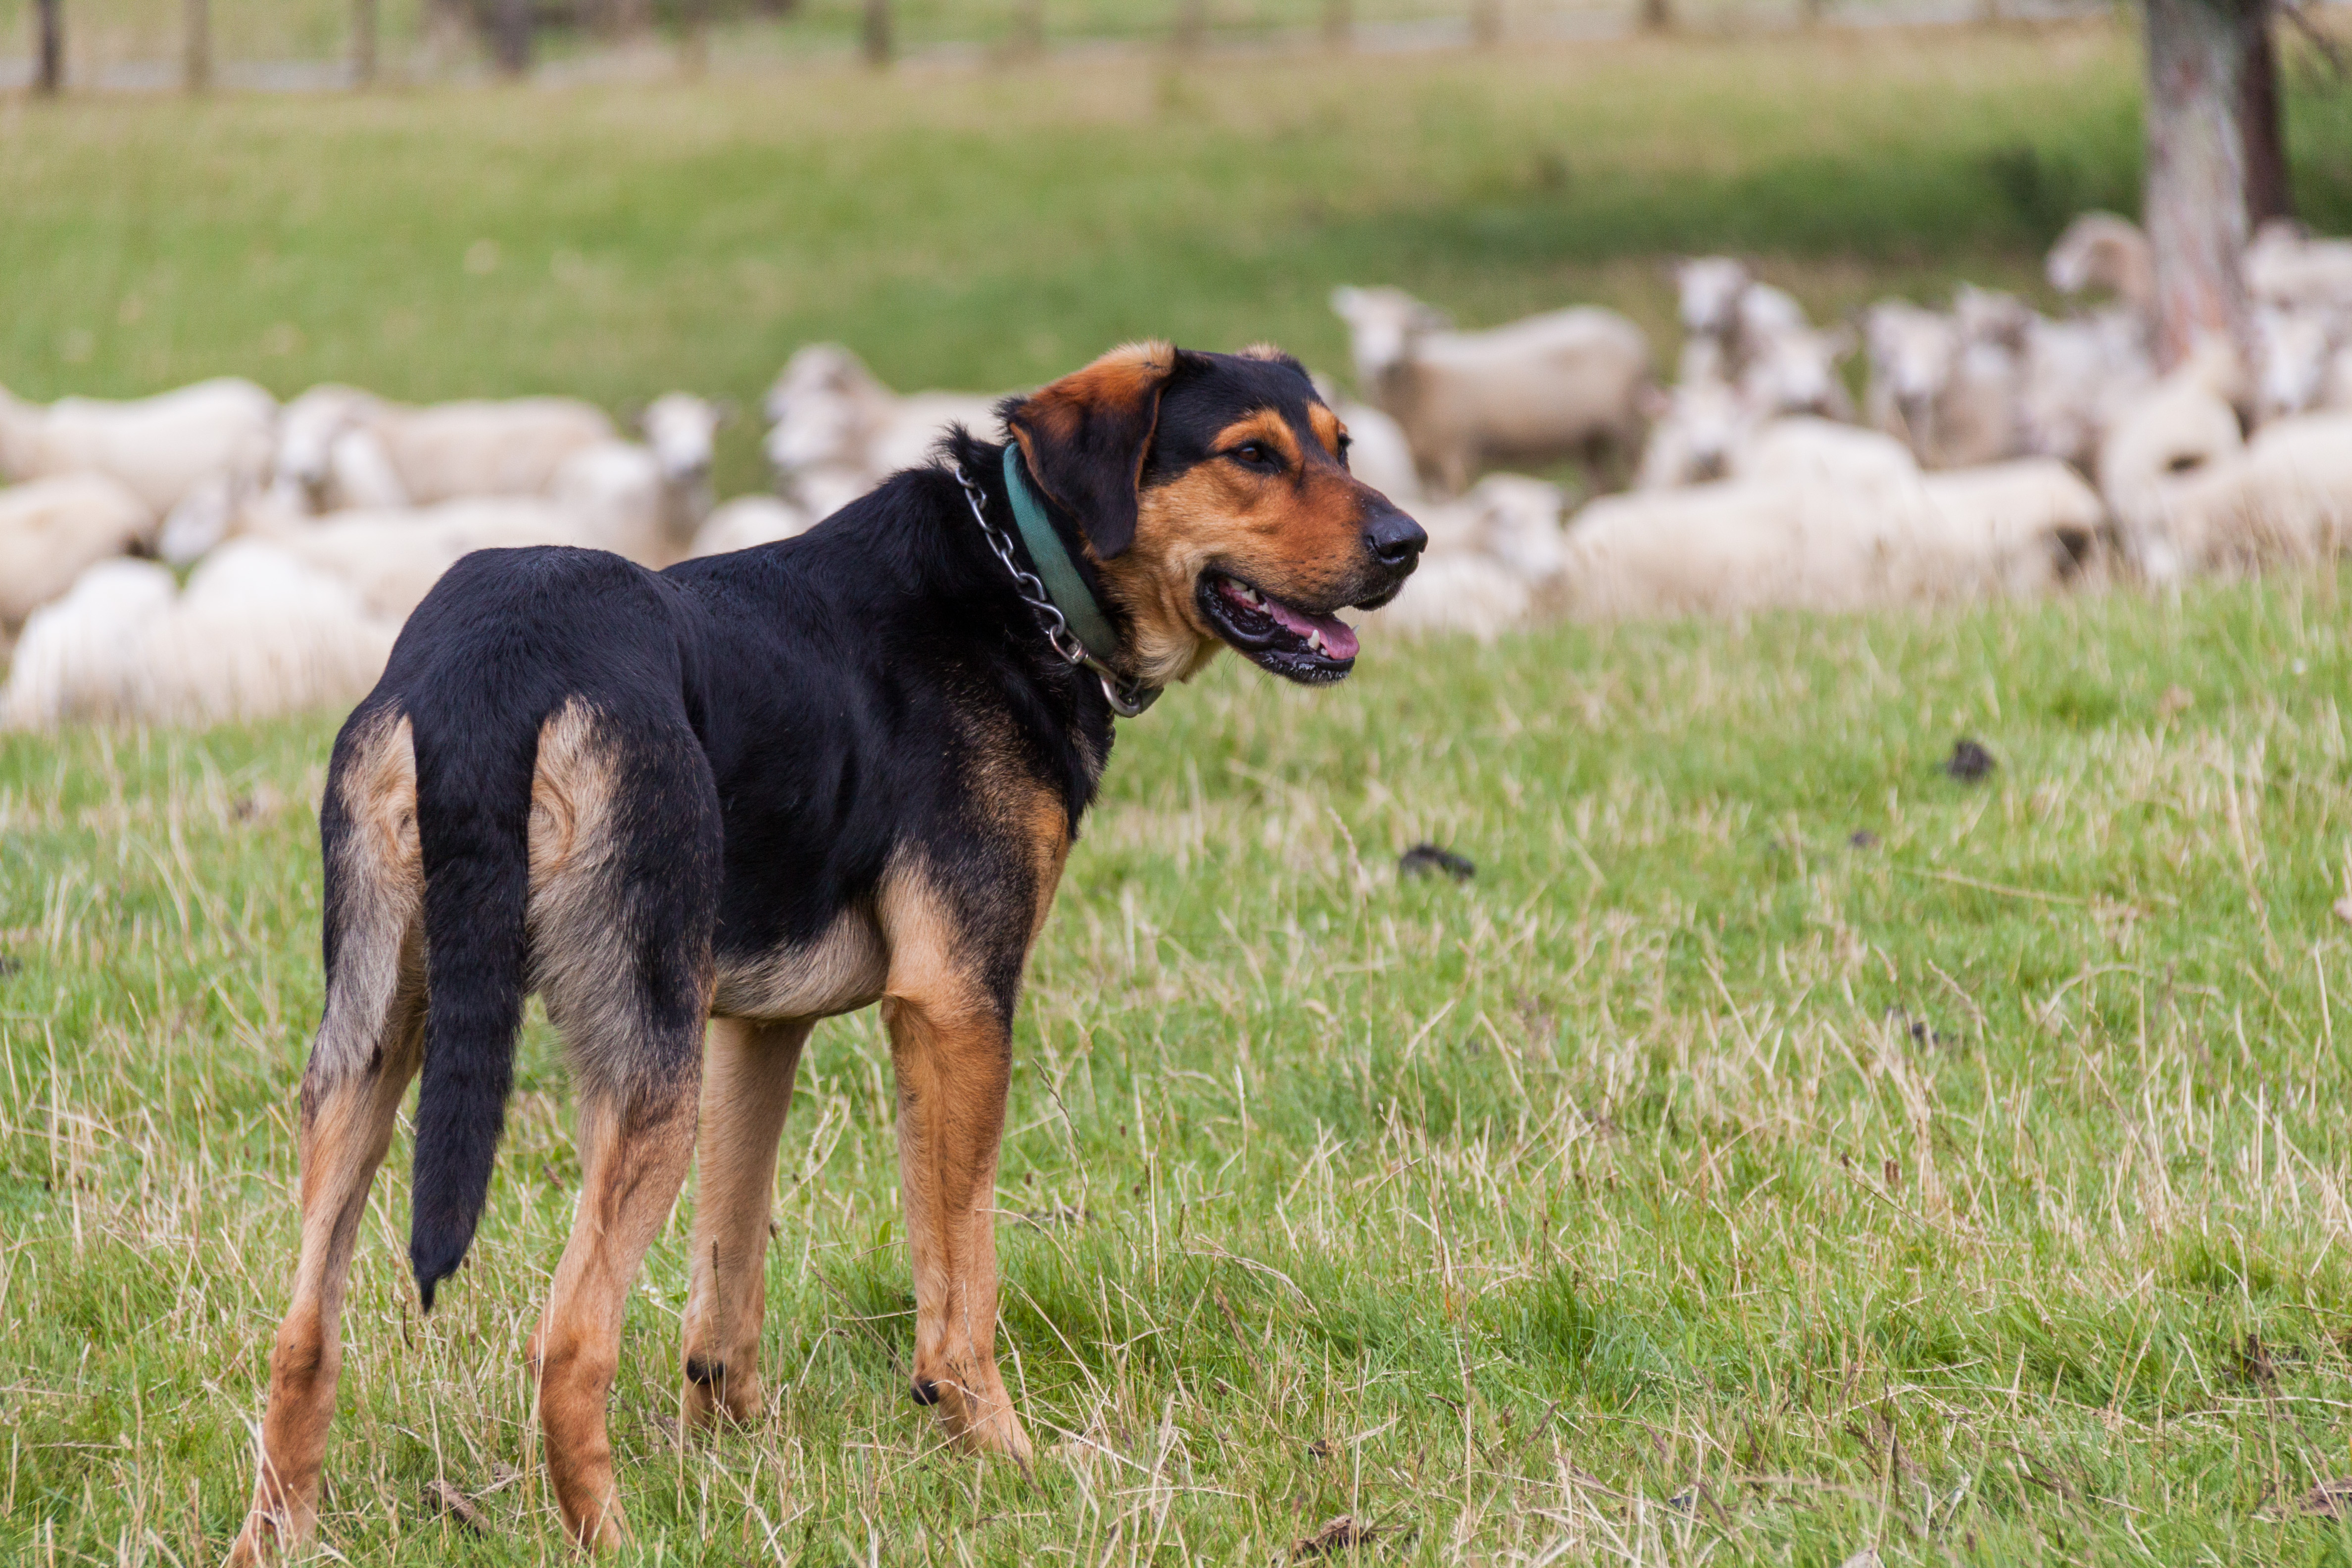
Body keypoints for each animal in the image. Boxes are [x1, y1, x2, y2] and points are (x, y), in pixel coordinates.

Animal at [229, 343, 1421, 1561]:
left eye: (1341, 445)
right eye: (1251, 457)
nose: (1407, 543)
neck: (1020, 575)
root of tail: (494, 665)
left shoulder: (757, 1030)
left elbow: (728, 1279)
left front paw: (732, 1451)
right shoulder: (955, 1004)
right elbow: (961, 1285)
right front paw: (1009, 1463)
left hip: (377, 1042)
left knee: (302, 1337)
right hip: (641, 1068)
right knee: (569, 1340)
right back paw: (617, 1538)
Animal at [1326, 286, 1656, 493]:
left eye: (1407, 328)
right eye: (1358, 326)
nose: (1383, 362)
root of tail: (1629, 332)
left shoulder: (1456, 455)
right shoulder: (1424, 463)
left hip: (1629, 422)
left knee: (1639, 474)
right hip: (1591, 437)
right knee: (1601, 481)